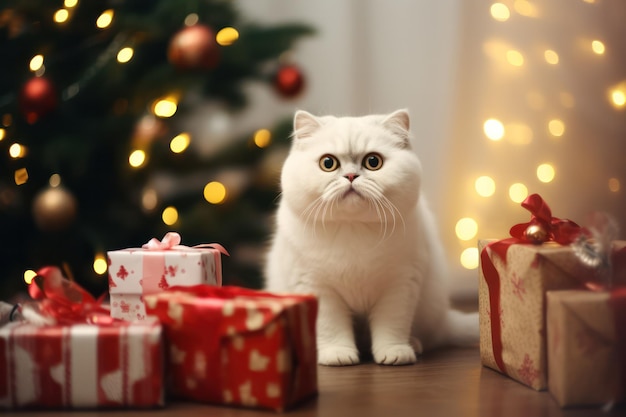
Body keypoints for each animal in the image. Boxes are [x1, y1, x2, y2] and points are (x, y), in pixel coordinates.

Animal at [264, 109, 478, 364]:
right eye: (328, 163)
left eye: (373, 162)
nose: (350, 175)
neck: (353, 227)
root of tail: (445, 321)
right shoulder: (315, 286)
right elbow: (330, 326)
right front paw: (337, 355)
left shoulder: (400, 283)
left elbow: (392, 324)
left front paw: (395, 353)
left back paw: (414, 345)